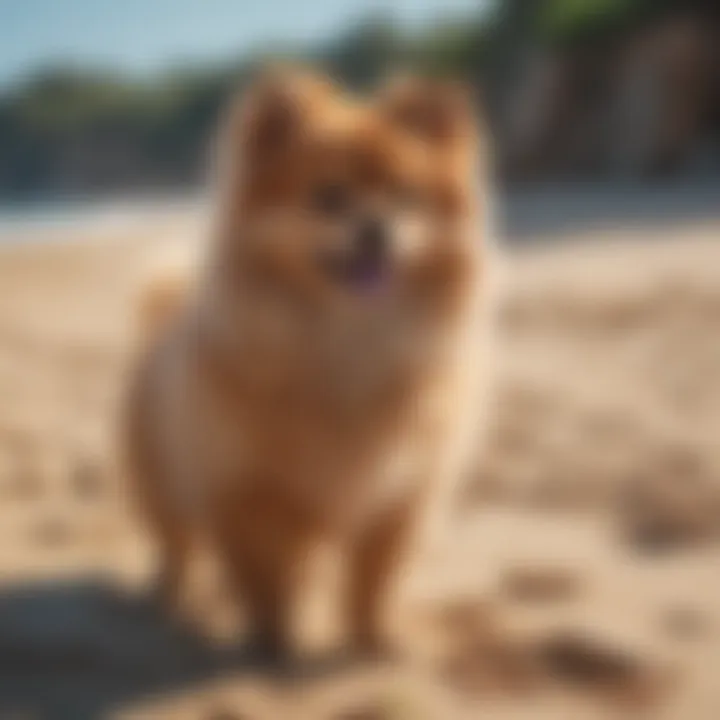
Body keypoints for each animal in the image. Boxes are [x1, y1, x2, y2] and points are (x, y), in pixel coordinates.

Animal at [125, 69, 496, 664]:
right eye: (329, 197)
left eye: (406, 198)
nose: (376, 226)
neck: (343, 342)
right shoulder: (245, 494)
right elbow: (263, 582)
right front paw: (272, 644)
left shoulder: (397, 499)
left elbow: (374, 583)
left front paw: (376, 639)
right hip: (161, 487)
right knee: (175, 548)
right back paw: (168, 597)